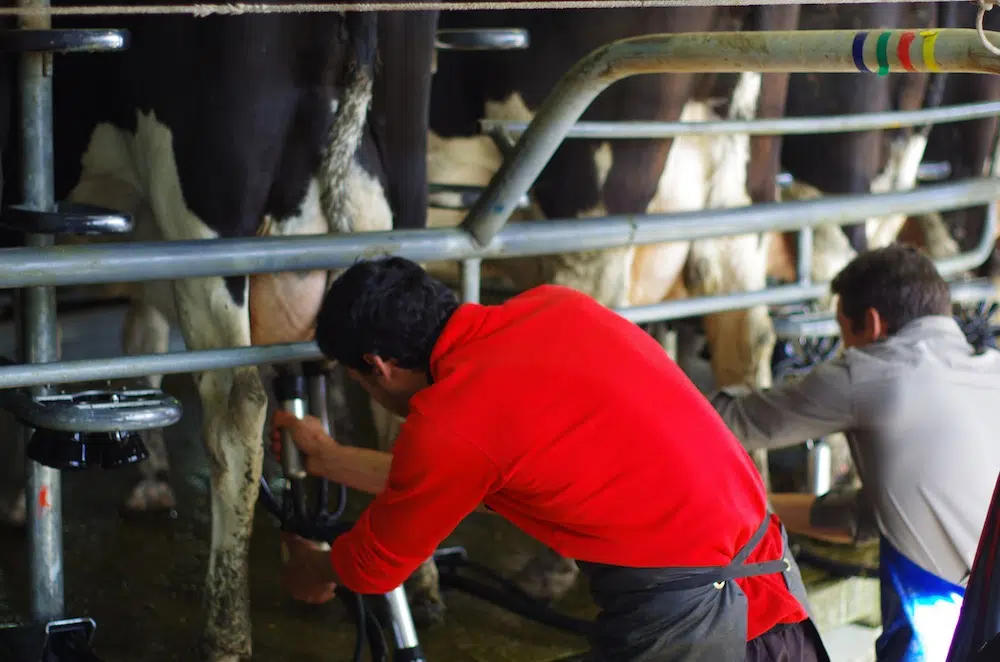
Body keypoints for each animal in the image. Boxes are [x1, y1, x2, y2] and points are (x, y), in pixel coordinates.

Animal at [0, 3, 439, 660]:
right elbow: (136, 338)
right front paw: (150, 480)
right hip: (402, 192)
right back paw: (424, 586)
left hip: (207, 215)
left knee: (237, 412)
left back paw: (226, 629)